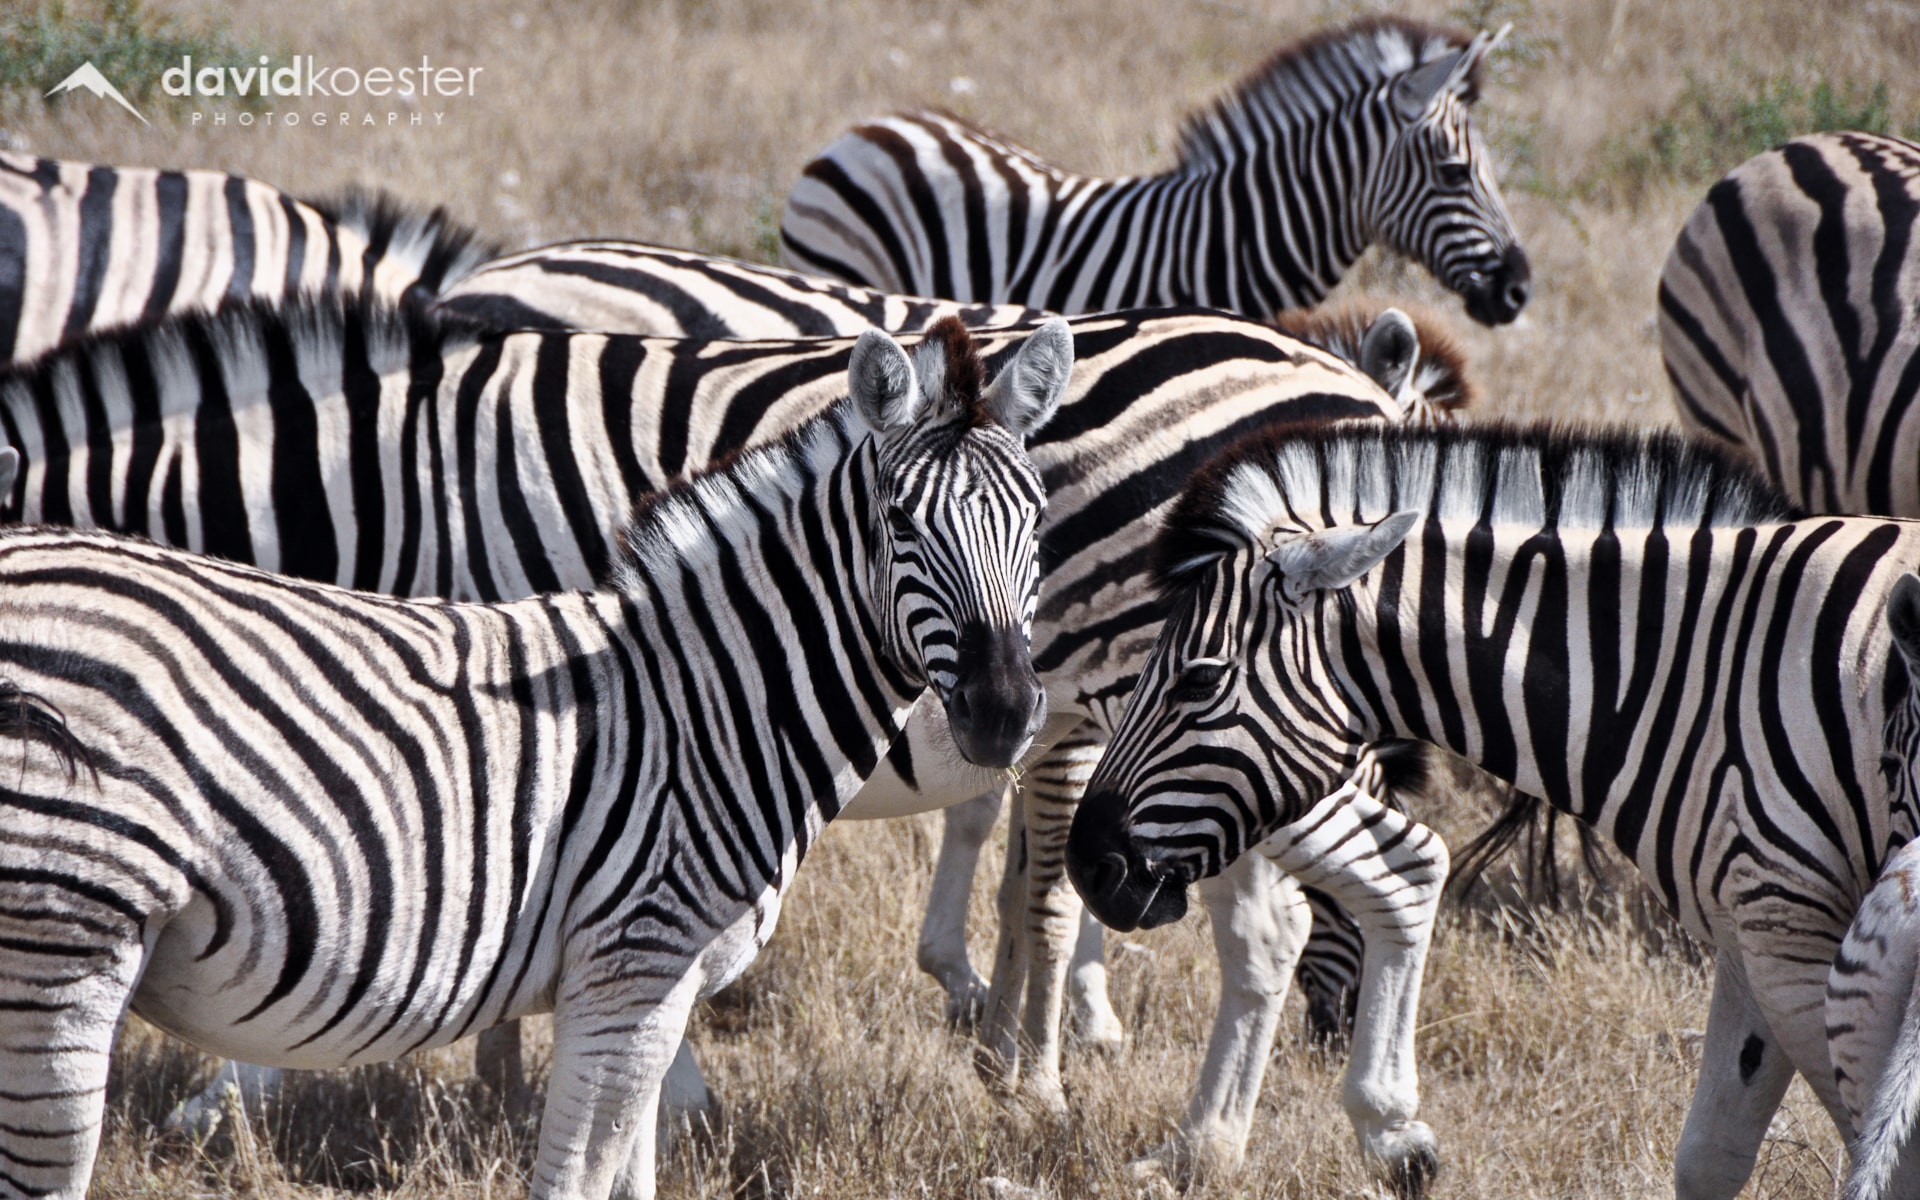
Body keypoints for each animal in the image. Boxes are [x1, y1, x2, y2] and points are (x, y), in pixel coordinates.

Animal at [0, 294, 1432, 1182]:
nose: (994, 703)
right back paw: (1231, 1144)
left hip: (1219, 727)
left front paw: (228, 1096)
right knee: (1281, 925)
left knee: (1373, 882)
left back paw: (1310, 1130)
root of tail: (1356, 380)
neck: (381, 478)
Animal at [1067, 421, 1920, 1199]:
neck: (1694, 672)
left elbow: (1867, 1144)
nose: (1087, 864)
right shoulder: (1750, 931)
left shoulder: (1790, 925)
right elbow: (1709, 1156)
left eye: (1200, 679)